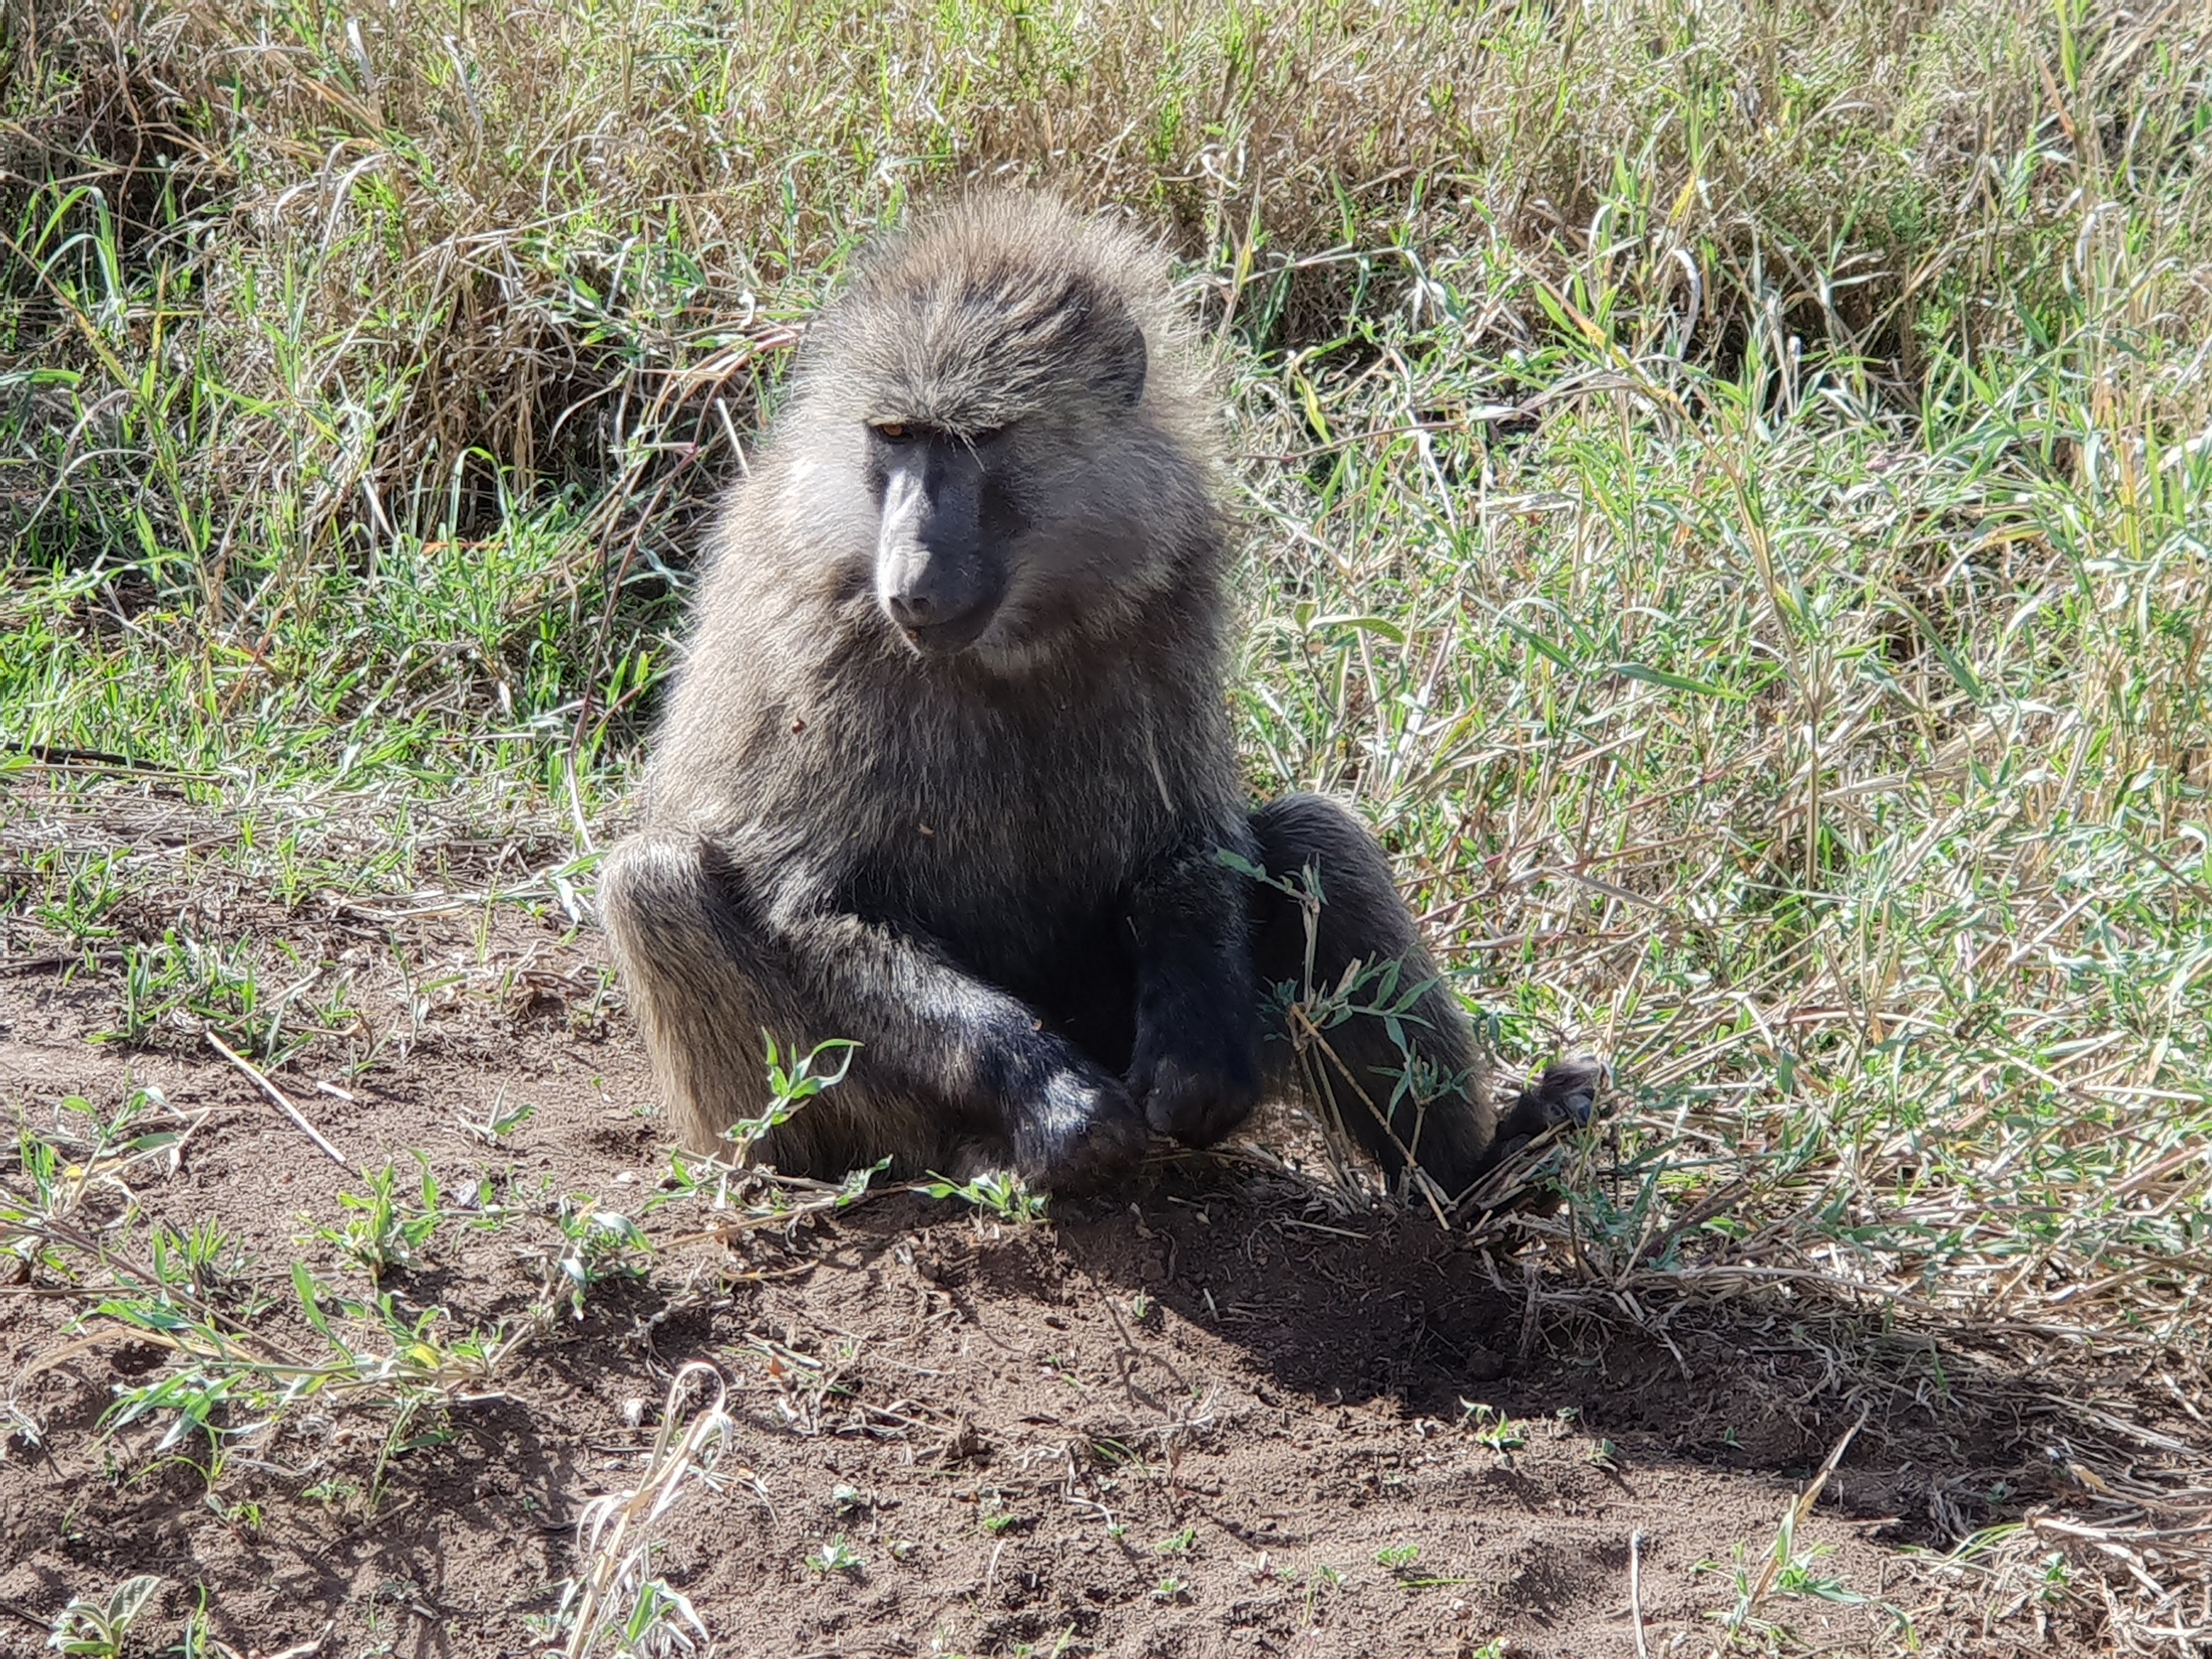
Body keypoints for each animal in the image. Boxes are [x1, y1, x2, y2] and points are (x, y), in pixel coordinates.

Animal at [598, 194, 1600, 1204]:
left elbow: (1189, 840)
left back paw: (1486, 1173)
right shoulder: (819, 637)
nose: (910, 583)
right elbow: (815, 902)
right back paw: (960, 1157)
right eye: (895, 437)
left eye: (975, 439)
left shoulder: (1171, 592)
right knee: (654, 882)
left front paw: (1195, 1065)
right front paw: (1057, 1102)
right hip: (855, 1116)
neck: (1015, 634)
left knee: (1319, 839)